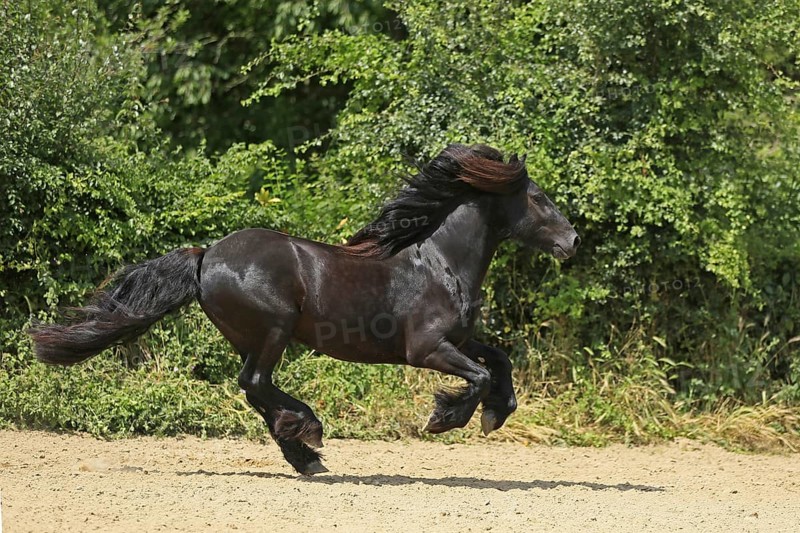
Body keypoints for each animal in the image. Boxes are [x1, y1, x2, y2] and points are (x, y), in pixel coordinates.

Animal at [30, 143, 580, 475]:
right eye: (538, 198)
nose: (572, 241)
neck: (441, 263)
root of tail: (207, 256)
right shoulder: (426, 349)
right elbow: (480, 376)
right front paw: (447, 418)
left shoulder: (460, 339)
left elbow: (498, 361)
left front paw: (496, 413)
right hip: (274, 330)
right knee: (255, 384)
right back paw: (308, 436)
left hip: (252, 338)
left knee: (255, 389)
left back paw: (303, 451)